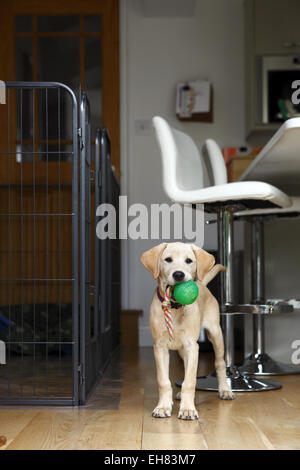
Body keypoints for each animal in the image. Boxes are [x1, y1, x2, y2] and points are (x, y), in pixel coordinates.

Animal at [141, 241, 234, 420]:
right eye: (168, 260)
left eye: (189, 261)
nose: (178, 274)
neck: (174, 307)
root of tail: (202, 284)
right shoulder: (160, 347)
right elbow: (164, 381)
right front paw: (163, 406)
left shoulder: (192, 346)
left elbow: (190, 381)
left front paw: (188, 409)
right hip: (182, 349)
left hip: (215, 334)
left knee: (219, 363)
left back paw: (225, 390)